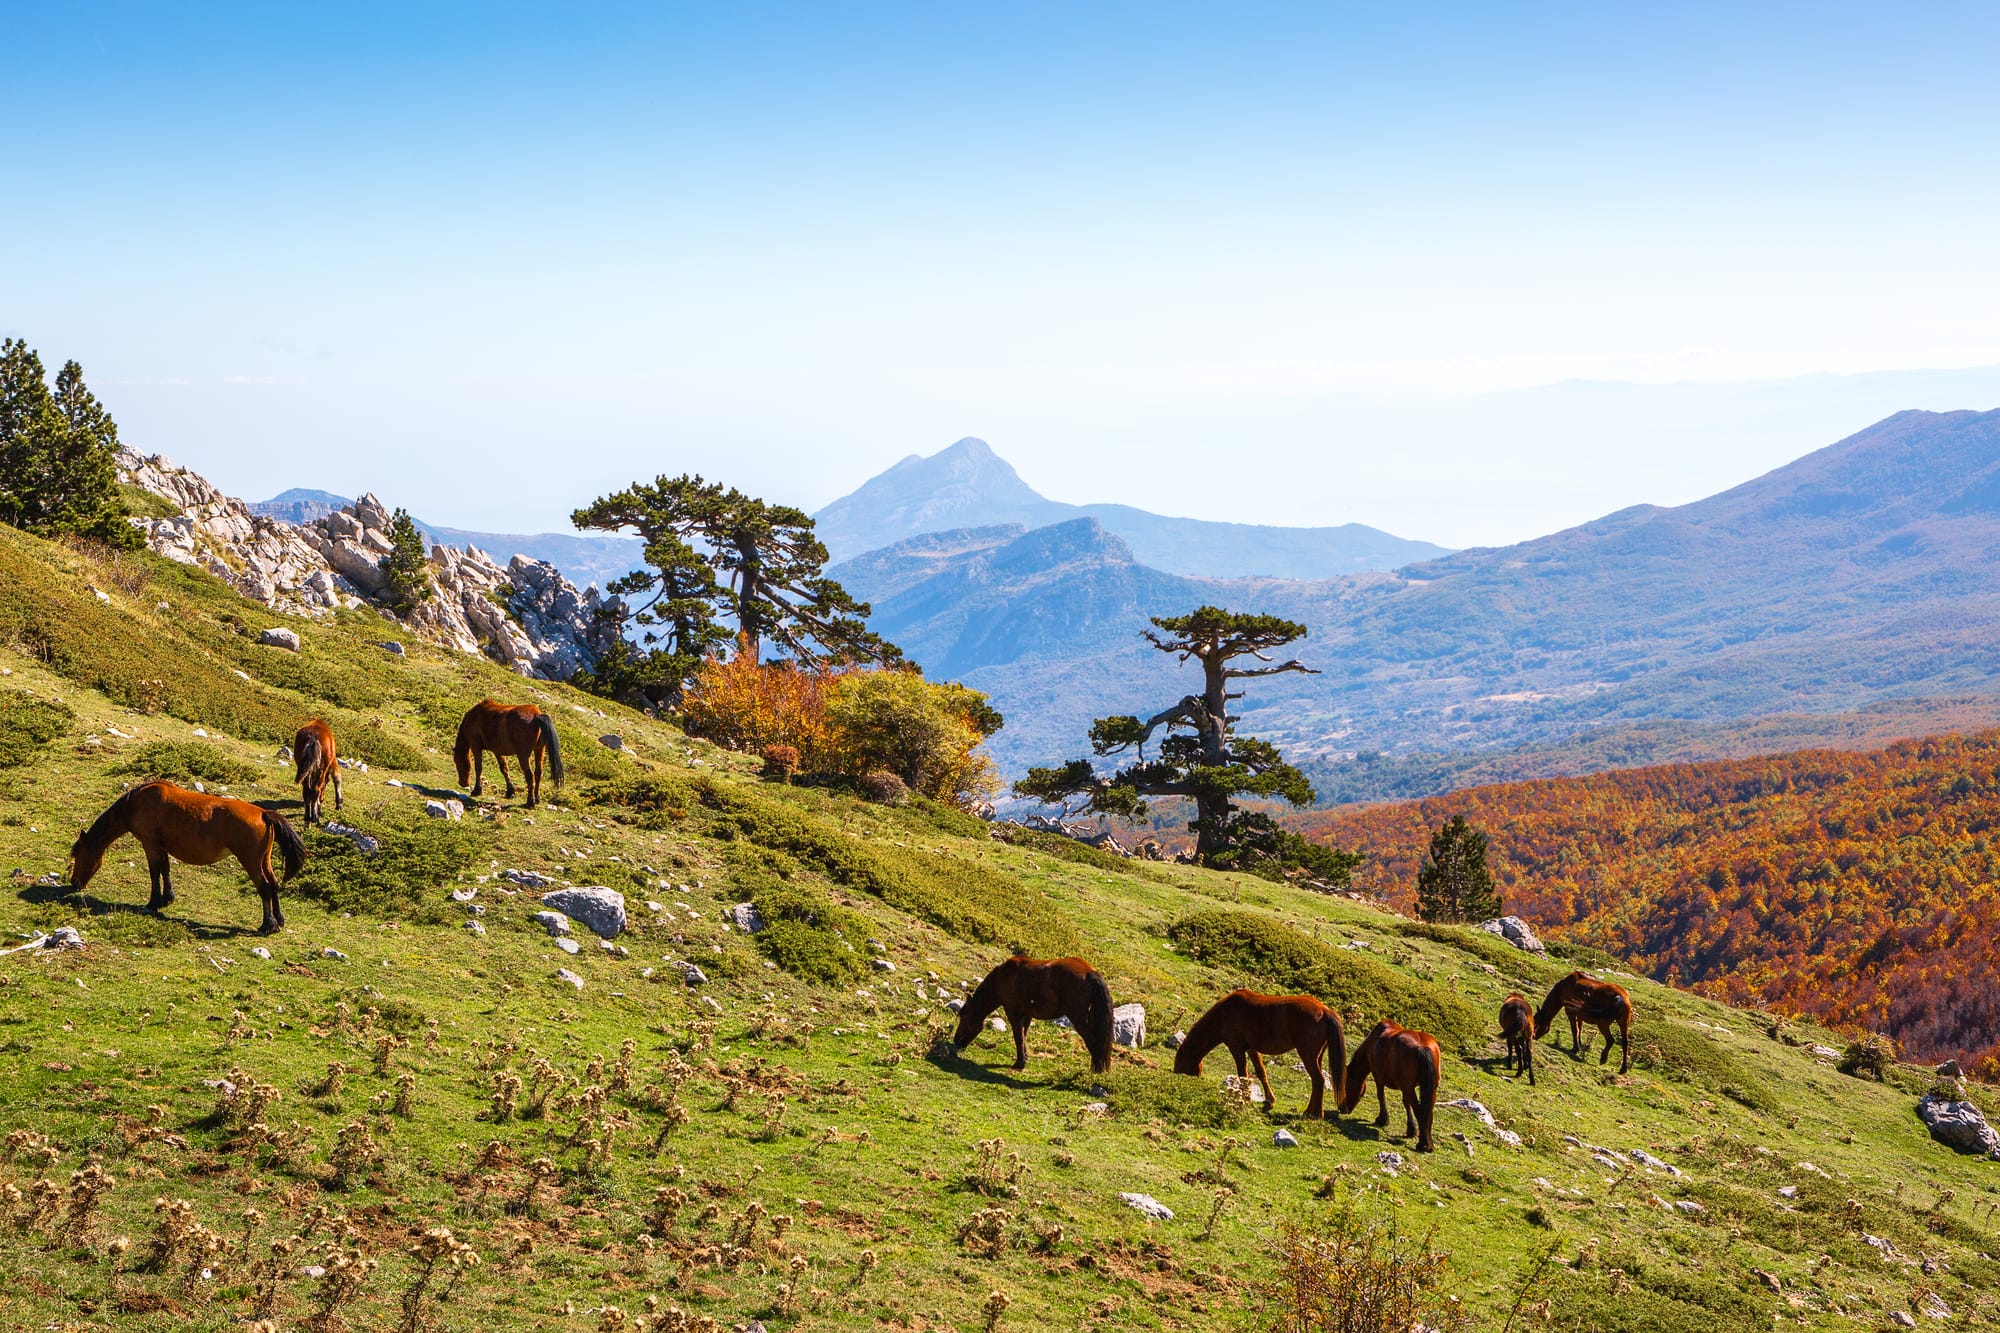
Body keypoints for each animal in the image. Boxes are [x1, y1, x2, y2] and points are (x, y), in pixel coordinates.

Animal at [68, 780, 306, 934]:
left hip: (251, 861)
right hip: (264, 860)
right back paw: (279, 921)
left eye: (78, 854)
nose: (74, 883)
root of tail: (264, 814)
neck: (135, 803)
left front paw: (153, 903)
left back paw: (267, 925)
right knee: (273, 885)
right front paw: (167, 899)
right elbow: (165, 869)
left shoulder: (150, 844)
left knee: (264, 887)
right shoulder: (161, 846)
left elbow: (154, 872)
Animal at [951, 956, 1114, 1074]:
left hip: (1077, 1017)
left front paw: (1019, 1063)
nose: (956, 1041)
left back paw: (1096, 1073)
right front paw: (1024, 1058)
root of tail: (1089, 972)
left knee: (1093, 1042)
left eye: (963, 1017)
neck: (1001, 978)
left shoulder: (1013, 1013)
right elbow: (1024, 1034)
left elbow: (1018, 1036)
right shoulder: (1027, 1015)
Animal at [1173, 990, 1346, 1118]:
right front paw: (1269, 1101)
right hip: (1318, 1056)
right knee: (1317, 1082)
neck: (1224, 1014)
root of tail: (1324, 1010)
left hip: (1307, 1054)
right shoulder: (1251, 1048)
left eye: (1181, 1066)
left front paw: (1244, 1098)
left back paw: (1313, 1113)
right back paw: (1313, 1111)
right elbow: (1261, 1072)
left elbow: (1242, 1073)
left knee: (1318, 1080)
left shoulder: (1236, 1047)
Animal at [1338, 1020, 1440, 1152]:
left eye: (1346, 1086)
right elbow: (1406, 1103)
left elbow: (1381, 1096)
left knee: (1420, 1111)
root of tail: (1423, 1047)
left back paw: (1422, 1144)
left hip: (1409, 1087)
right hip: (1431, 1088)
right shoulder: (1405, 1087)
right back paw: (1428, 1143)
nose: (1342, 1108)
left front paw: (1382, 1119)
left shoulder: (1378, 1078)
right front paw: (1411, 1130)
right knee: (1428, 1111)